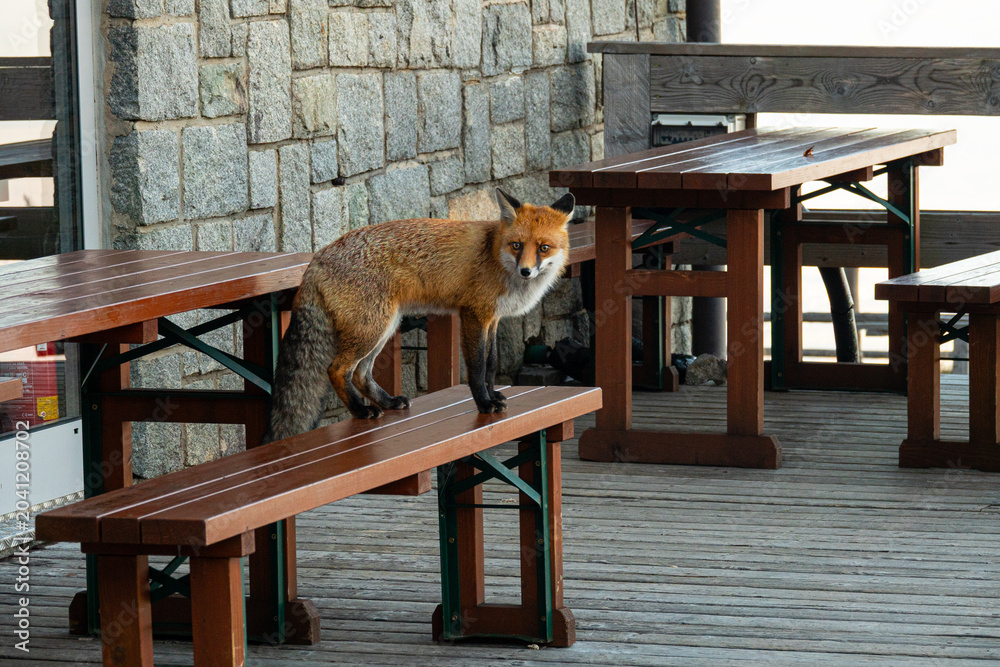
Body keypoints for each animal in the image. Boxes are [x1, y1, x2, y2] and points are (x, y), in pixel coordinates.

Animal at [262, 188, 575, 443]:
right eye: (517, 245)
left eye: (544, 248)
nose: (526, 271)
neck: (494, 254)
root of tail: (317, 258)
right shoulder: (474, 315)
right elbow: (476, 367)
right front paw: (484, 404)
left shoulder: (493, 319)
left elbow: (491, 362)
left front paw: (493, 394)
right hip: (372, 327)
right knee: (336, 370)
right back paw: (361, 411)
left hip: (385, 326)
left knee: (361, 373)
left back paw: (387, 402)